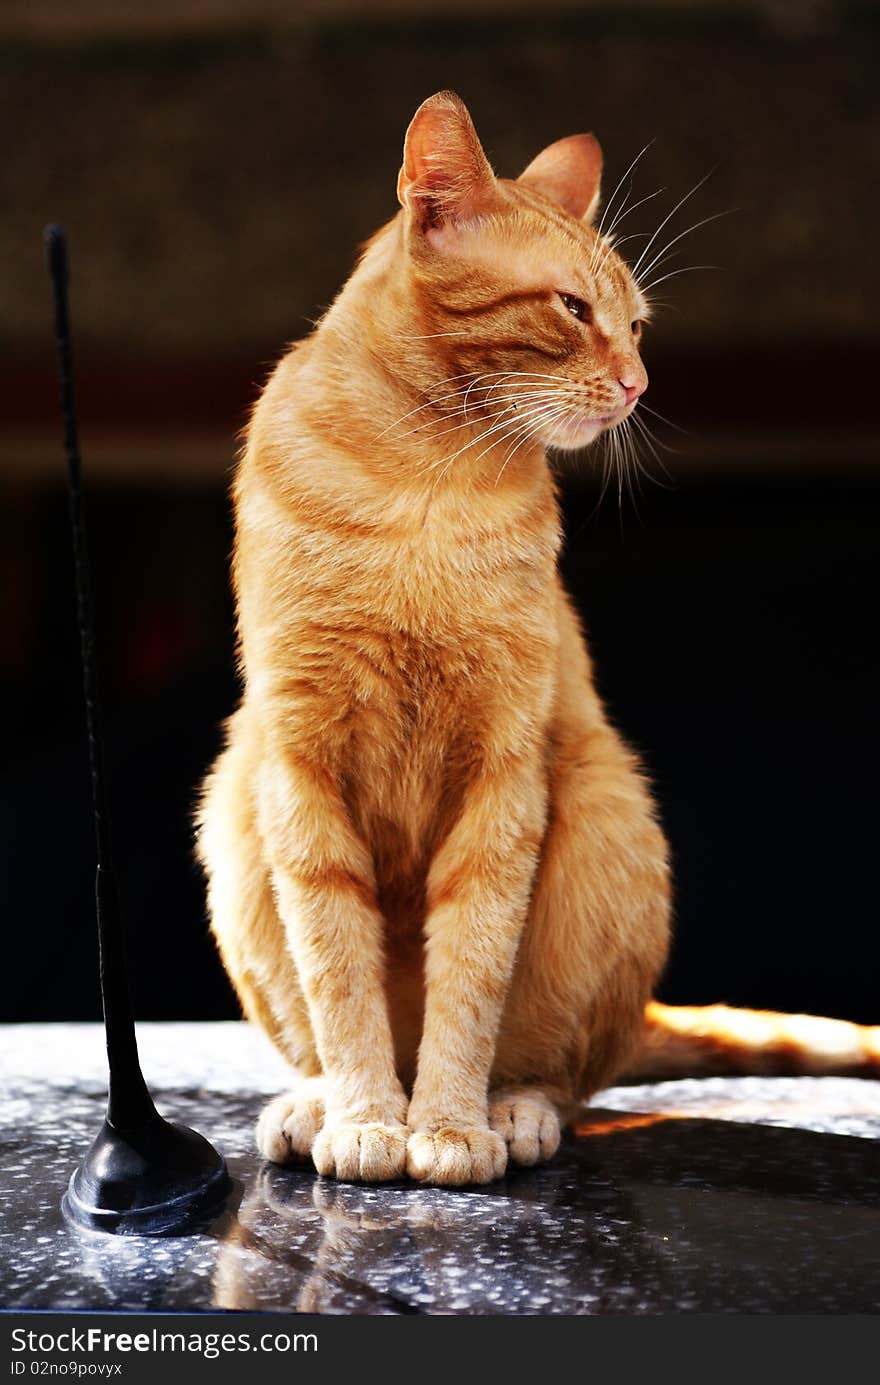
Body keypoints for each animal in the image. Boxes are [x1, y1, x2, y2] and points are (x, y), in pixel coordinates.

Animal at [196, 92, 875, 1185]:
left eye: (636, 325)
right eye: (572, 310)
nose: (639, 383)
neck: (423, 477)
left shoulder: (503, 773)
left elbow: (473, 972)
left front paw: (445, 1125)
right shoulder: (301, 763)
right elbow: (339, 974)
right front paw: (369, 1116)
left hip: (605, 806)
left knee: (563, 1070)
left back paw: (510, 1110)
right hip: (234, 800)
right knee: (335, 1033)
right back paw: (321, 1101)